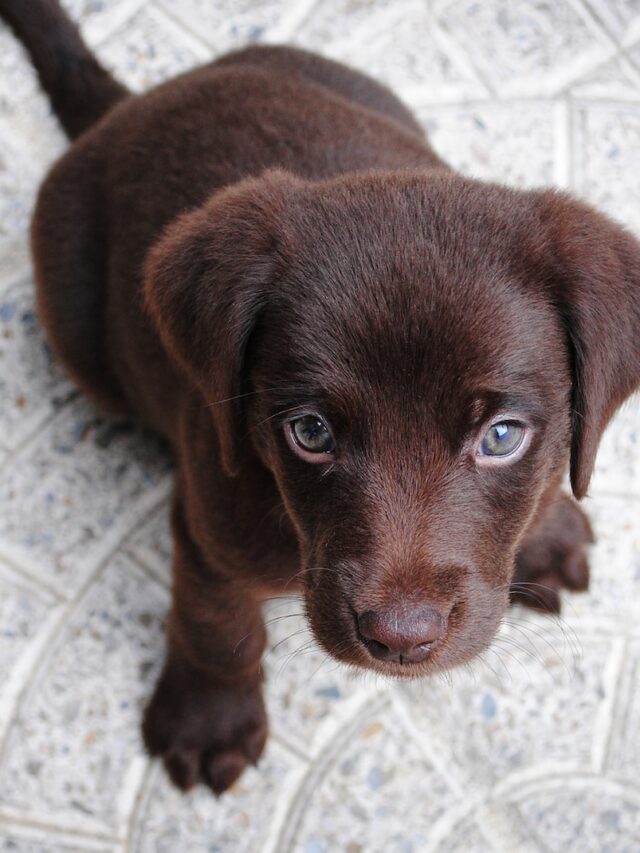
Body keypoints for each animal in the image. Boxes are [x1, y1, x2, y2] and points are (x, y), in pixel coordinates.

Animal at [2, 1, 636, 800]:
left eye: (501, 436)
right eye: (309, 431)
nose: (401, 637)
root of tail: (129, 106)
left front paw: (546, 528)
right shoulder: (210, 520)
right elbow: (217, 622)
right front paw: (210, 720)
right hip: (77, 327)